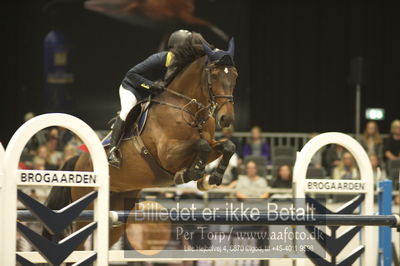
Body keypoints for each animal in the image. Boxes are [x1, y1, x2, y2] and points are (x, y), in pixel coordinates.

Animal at [44, 36, 238, 246]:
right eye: (215, 75)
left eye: (235, 76)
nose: (226, 119)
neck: (188, 109)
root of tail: (78, 160)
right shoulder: (168, 155)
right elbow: (201, 146)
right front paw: (191, 173)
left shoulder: (209, 145)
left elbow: (227, 146)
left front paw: (212, 178)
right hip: (85, 210)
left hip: (119, 208)